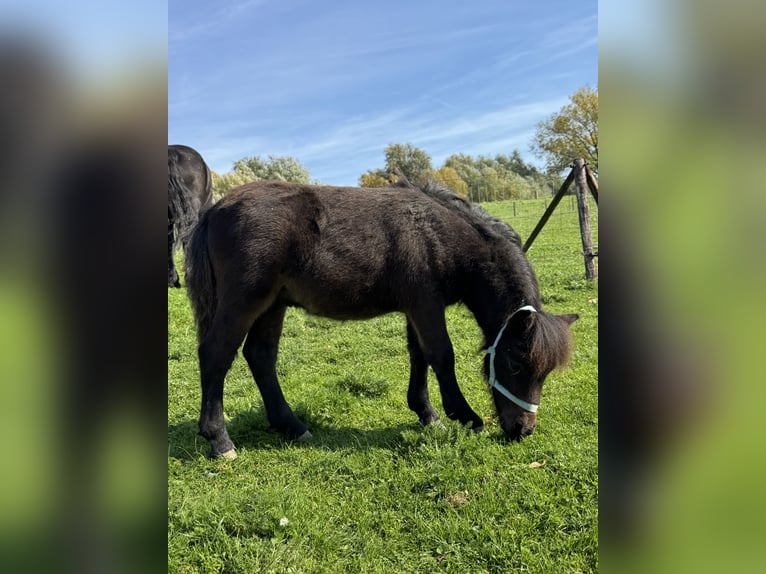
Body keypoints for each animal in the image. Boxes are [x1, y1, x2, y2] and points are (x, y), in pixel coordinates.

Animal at [184, 178, 578, 459]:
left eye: (545, 372)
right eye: (515, 363)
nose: (522, 430)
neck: (436, 233)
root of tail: (215, 209)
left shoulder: (416, 308)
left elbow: (419, 356)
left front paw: (427, 414)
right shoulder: (426, 305)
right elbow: (442, 355)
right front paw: (465, 416)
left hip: (273, 306)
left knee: (261, 357)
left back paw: (292, 426)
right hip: (244, 302)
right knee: (216, 355)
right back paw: (220, 441)